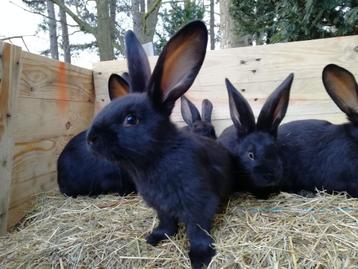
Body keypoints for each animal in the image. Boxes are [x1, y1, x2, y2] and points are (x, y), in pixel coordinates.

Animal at [86, 21, 235, 268]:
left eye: (131, 120)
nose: (90, 139)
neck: (156, 156)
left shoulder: (199, 202)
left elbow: (197, 231)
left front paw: (200, 257)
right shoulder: (161, 207)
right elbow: (166, 223)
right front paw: (155, 237)